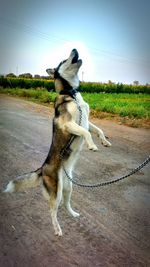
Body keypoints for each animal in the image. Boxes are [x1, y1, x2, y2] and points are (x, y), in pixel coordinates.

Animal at [3, 48, 111, 237]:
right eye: (63, 59)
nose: (75, 49)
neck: (71, 93)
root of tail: (42, 167)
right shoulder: (68, 124)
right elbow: (85, 132)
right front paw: (92, 145)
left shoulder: (86, 121)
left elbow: (97, 129)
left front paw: (104, 141)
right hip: (57, 190)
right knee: (52, 210)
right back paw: (57, 229)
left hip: (69, 188)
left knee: (65, 205)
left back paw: (73, 214)